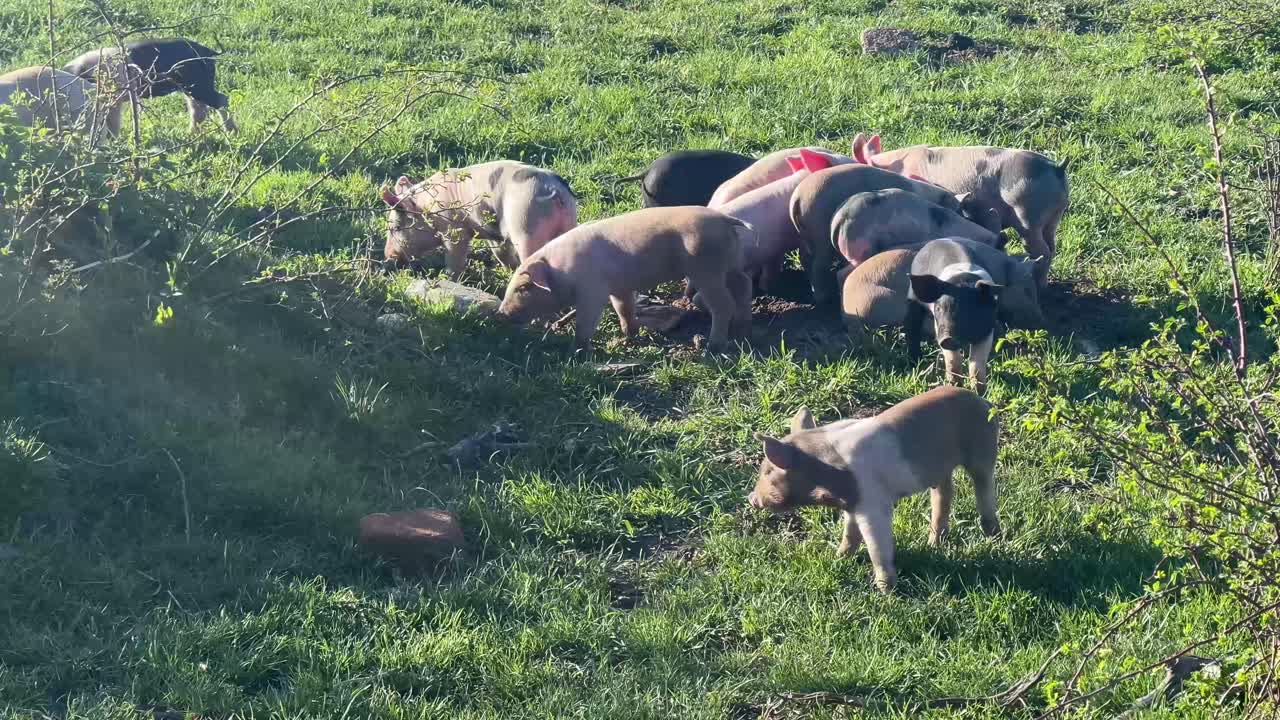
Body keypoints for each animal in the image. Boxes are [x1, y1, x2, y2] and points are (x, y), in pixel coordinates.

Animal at [63, 38, 236, 133]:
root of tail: (208, 52)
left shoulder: (114, 100)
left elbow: (113, 123)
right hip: (191, 87)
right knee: (199, 109)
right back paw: (191, 134)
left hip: (199, 85)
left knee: (222, 100)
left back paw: (232, 132)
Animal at [382, 161, 578, 276]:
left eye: (396, 227)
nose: (389, 255)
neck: (427, 207)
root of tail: (553, 191)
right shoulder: (494, 234)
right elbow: (501, 254)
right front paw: (509, 271)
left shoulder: (454, 230)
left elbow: (455, 258)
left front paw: (449, 278)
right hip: (569, 222)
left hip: (526, 226)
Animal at [497, 206, 753, 351]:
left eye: (523, 287)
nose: (501, 313)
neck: (562, 271)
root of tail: (724, 219)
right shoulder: (619, 288)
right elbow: (624, 310)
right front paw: (628, 337)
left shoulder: (592, 291)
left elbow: (586, 322)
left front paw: (578, 350)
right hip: (731, 263)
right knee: (744, 285)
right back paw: (741, 326)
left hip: (706, 268)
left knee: (723, 304)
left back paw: (713, 345)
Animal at [748, 387, 1000, 592]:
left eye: (767, 471)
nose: (751, 498)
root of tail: (983, 401)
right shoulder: (853, 503)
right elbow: (850, 535)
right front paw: (837, 558)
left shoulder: (873, 502)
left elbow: (876, 545)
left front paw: (885, 591)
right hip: (941, 470)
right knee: (944, 494)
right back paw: (934, 544)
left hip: (982, 452)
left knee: (984, 489)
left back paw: (993, 537)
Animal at [906, 237, 1012, 393]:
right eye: (939, 308)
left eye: (969, 310)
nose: (948, 338)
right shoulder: (939, 328)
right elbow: (953, 360)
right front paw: (955, 386)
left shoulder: (987, 330)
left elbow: (977, 363)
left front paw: (979, 392)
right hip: (912, 300)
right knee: (912, 330)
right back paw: (914, 361)